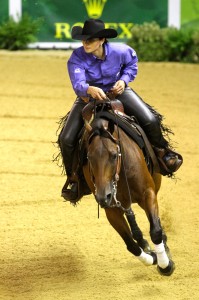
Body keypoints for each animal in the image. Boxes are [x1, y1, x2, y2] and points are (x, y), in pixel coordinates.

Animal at [81, 100, 174, 276]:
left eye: (113, 155)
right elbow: (131, 244)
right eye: (89, 157)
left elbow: (156, 231)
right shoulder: (111, 208)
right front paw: (152, 257)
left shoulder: (148, 193)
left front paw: (165, 265)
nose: (103, 196)